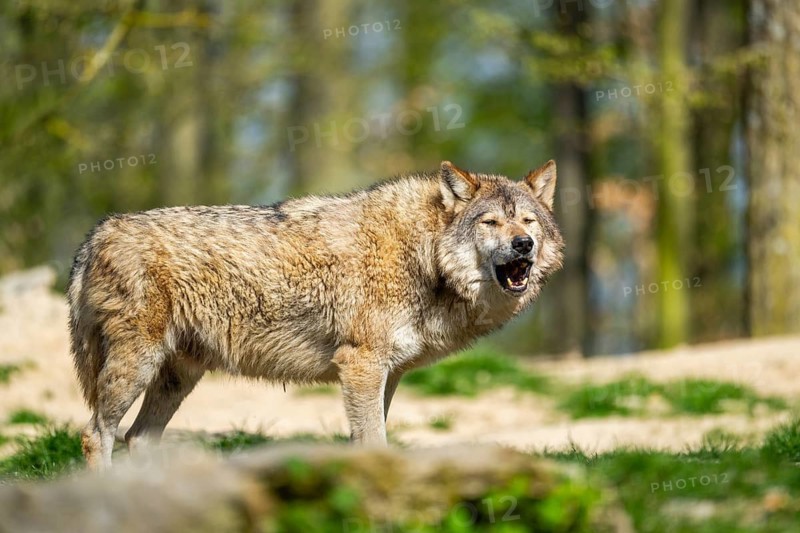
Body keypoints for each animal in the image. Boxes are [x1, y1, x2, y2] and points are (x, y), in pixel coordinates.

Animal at [68, 160, 564, 469]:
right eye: (490, 223)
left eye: (528, 222)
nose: (524, 245)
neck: (422, 255)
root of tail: (96, 233)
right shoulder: (361, 366)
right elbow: (375, 441)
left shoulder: (387, 374)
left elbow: (365, 443)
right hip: (136, 368)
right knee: (96, 434)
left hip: (177, 377)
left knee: (137, 437)